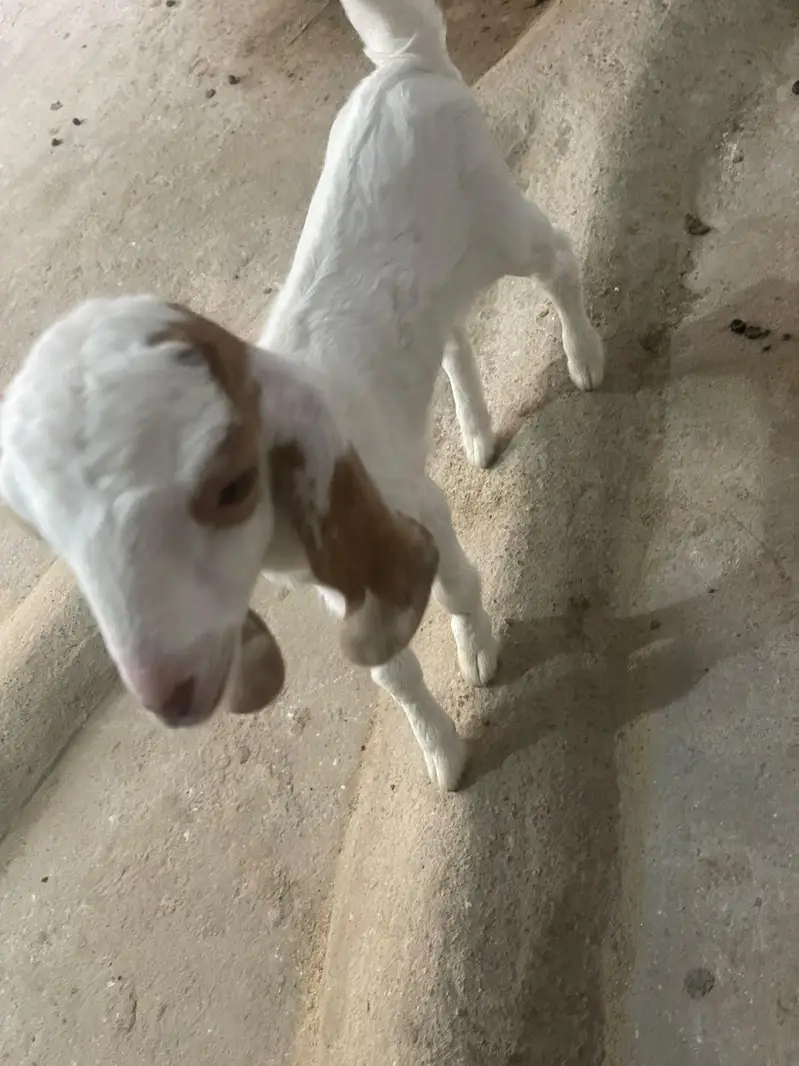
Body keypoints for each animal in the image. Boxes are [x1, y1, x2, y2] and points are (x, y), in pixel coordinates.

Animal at [0, 0, 604, 790]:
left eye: (227, 487)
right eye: (53, 539)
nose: (166, 692)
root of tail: (405, 63)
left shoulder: (409, 510)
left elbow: (453, 585)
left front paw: (478, 654)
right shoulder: (330, 576)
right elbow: (390, 672)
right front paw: (440, 751)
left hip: (497, 215)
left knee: (555, 258)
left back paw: (584, 357)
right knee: (446, 334)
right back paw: (476, 433)